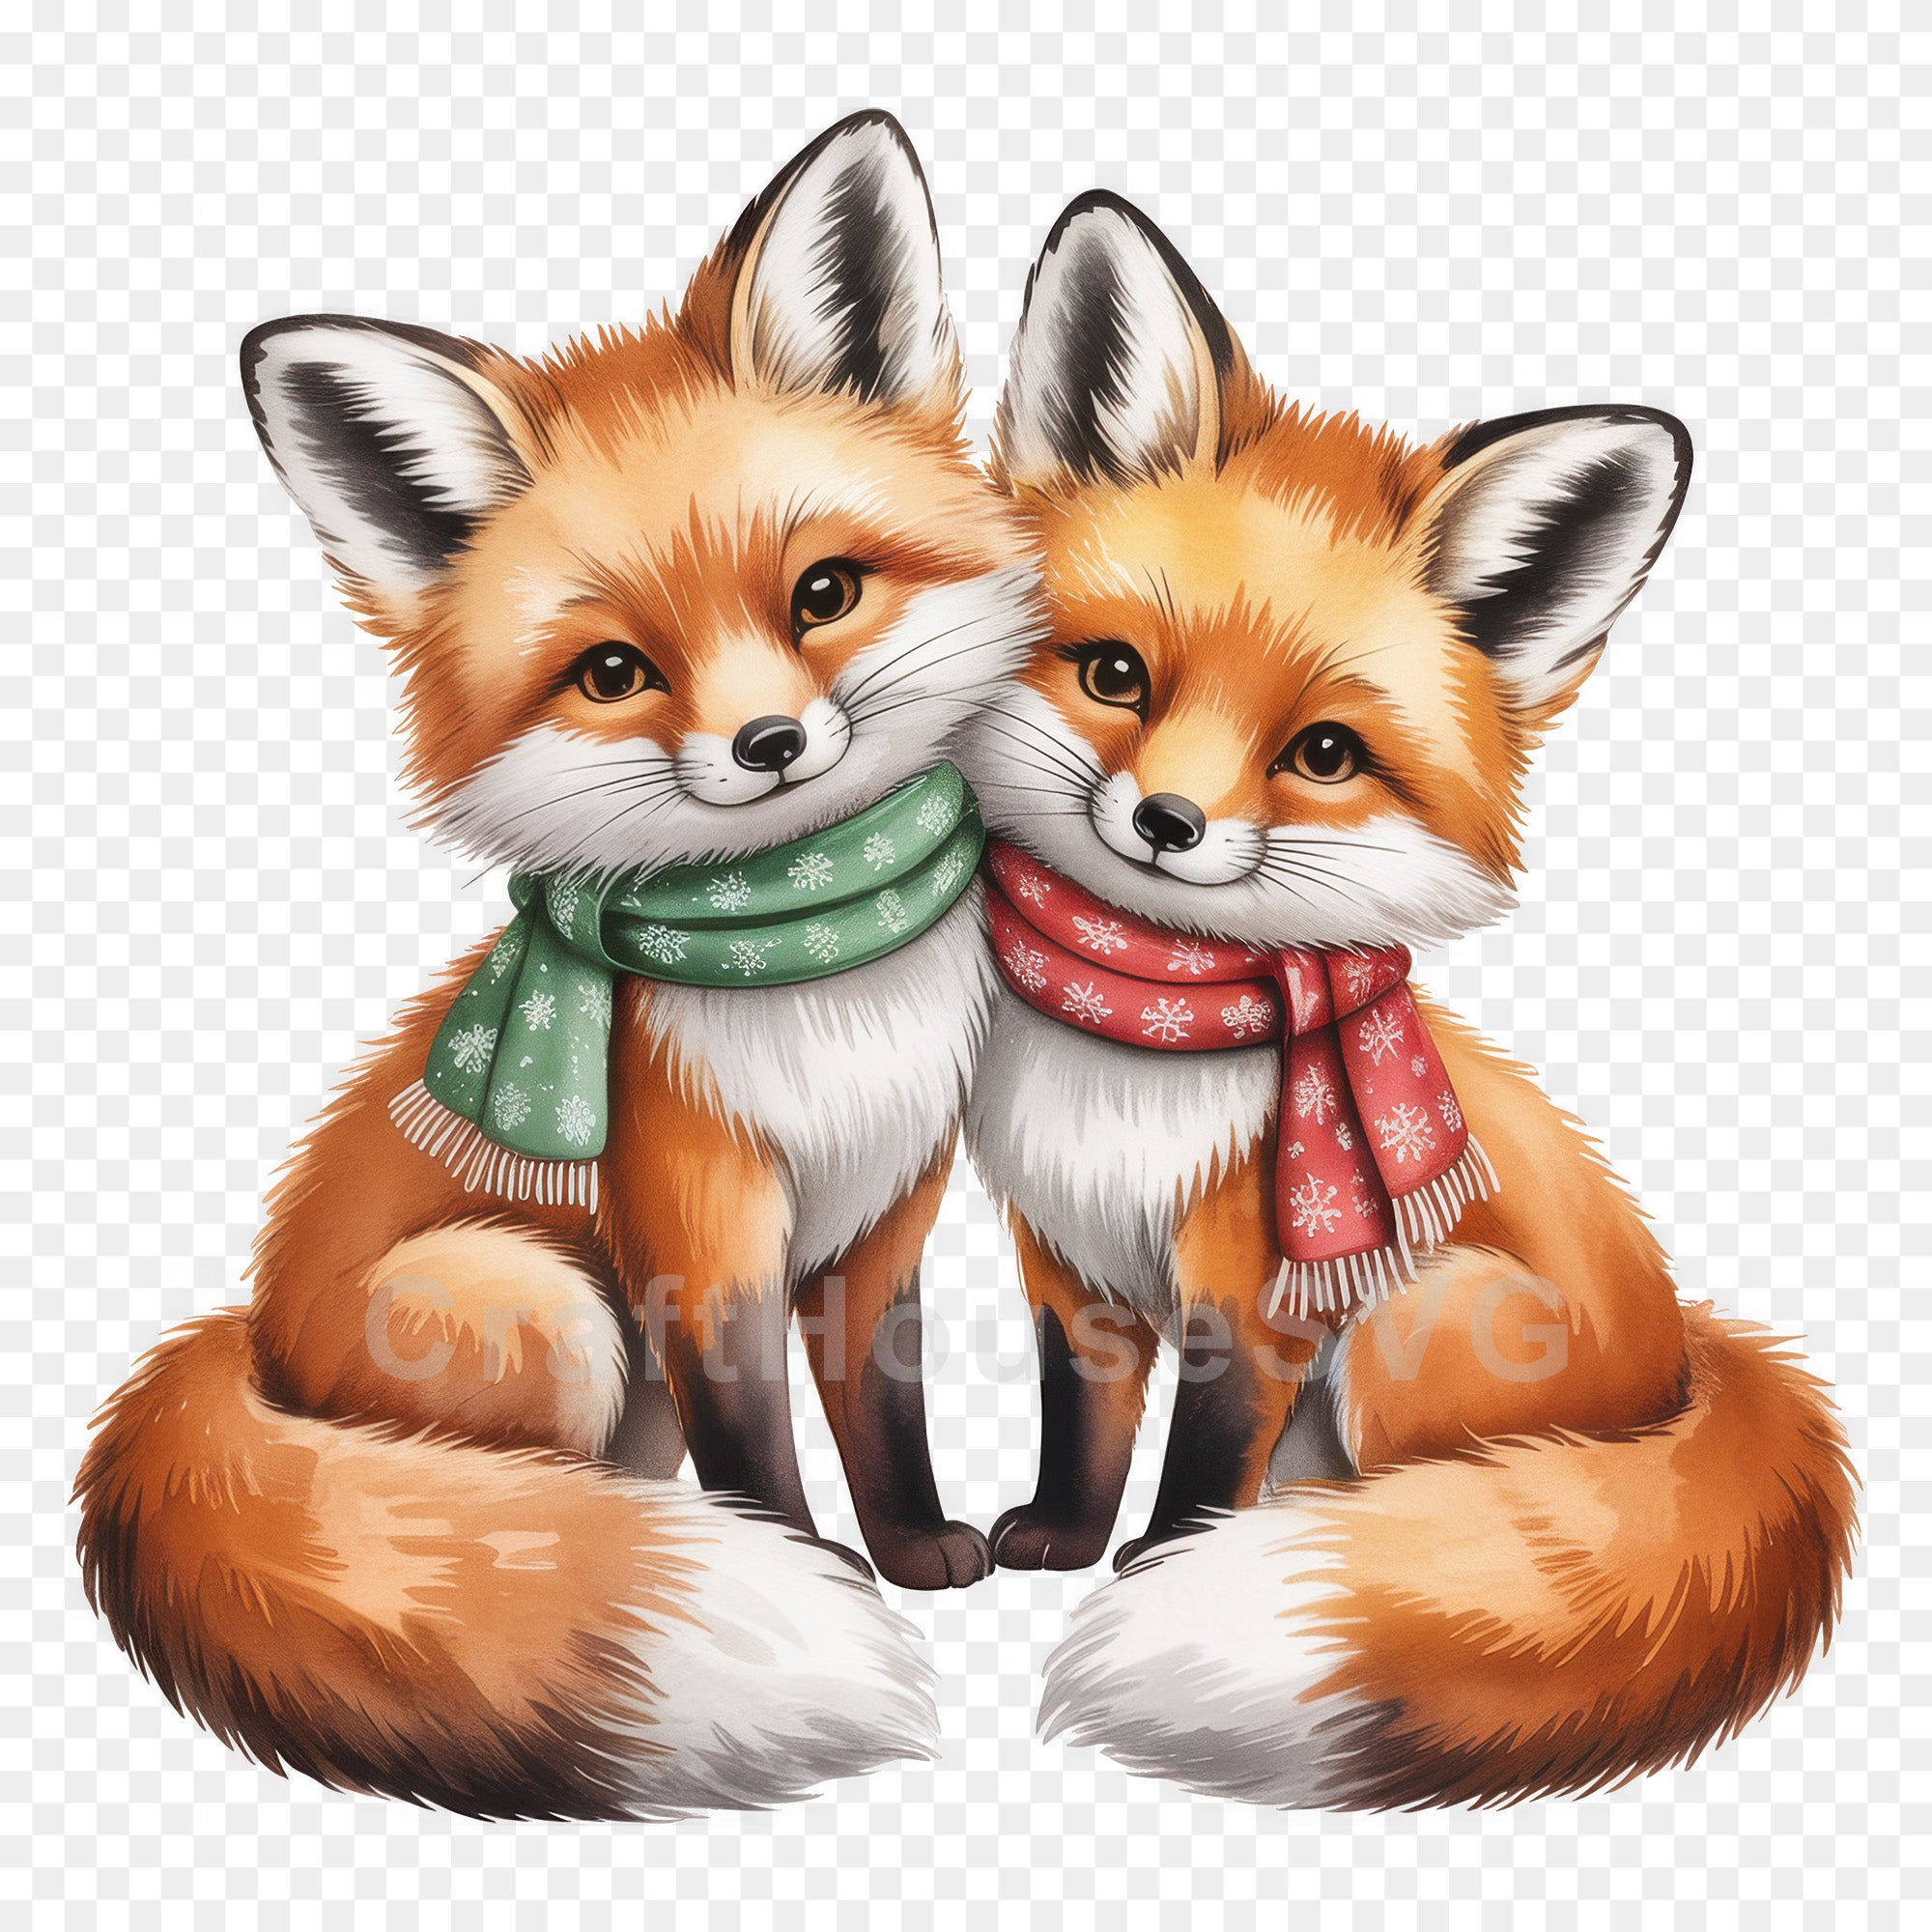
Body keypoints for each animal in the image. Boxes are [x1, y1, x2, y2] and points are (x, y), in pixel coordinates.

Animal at [73, 113, 1042, 1818]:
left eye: (823, 593)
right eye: (613, 673)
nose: (771, 744)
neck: (812, 961)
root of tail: (249, 1345)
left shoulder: (886, 1217)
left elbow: (885, 1410)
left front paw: (918, 1549)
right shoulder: (698, 1230)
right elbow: (763, 1449)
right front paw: (808, 1575)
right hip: (545, 1304)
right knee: (496, 1499)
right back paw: (578, 1561)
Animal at [959, 191, 1857, 1806]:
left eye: (1321, 753)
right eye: (1116, 674)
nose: (1166, 825)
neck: (1139, 1047)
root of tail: (1689, 1364)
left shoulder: (1251, 1295)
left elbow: (1200, 1464)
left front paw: (1162, 1566)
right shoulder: (1066, 1262)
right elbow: (1084, 1423)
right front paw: (1059, 1537)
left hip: (1410, 1318)